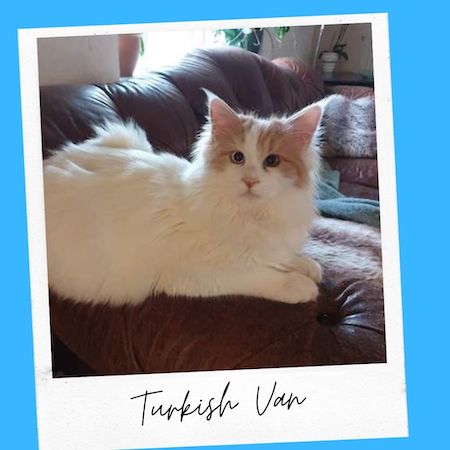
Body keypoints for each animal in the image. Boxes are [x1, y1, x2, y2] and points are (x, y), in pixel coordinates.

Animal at [43, 93, 324, 308]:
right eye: (237, 158)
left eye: (272, 161)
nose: (250, 181)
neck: (253, 215)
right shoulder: (199, 273)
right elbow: (263, 275)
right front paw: (299, 284)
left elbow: (284, 257)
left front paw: (306, 265)